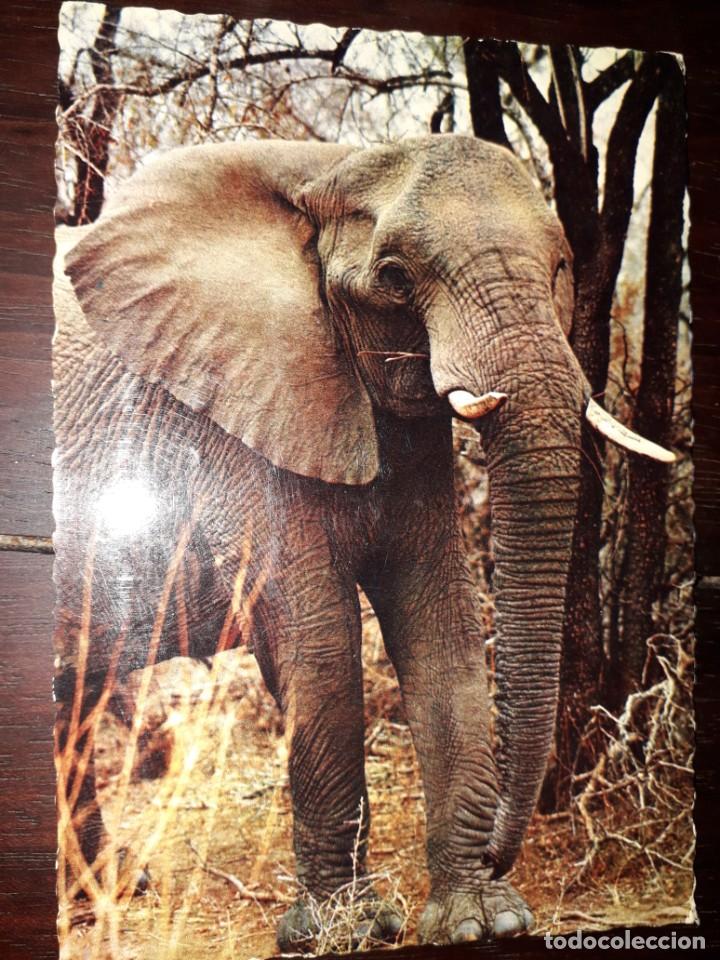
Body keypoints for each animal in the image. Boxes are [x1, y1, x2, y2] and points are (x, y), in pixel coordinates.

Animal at [52, 134, 673, 948]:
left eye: (563, 266)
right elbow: (317, 638)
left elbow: (440, 619)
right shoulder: (240, 418)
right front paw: (340, 930)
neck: (327, 168)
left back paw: (112, 890)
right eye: (396, 277)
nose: (503, 848)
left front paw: (482, 920)